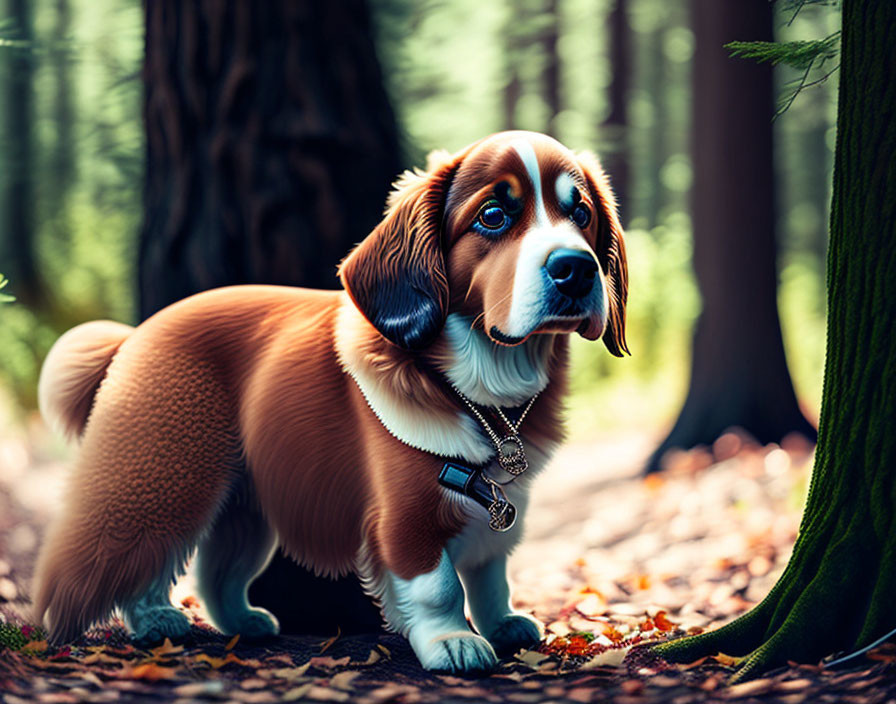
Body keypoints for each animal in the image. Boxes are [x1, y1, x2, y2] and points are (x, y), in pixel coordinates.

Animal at [31, 129, 628, 672]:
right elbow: (437, 586)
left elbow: (489, 574)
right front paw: (451, 641)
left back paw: (235, 620)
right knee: (112, 555)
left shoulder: (498, 505)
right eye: (494, 217)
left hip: (243, 504)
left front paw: (500, 623)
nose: (576, 269)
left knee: (217, 570)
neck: (482, 382)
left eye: (581, 215)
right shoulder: (406, 512)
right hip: (162, 478)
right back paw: (113, 624)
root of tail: (136, 335)